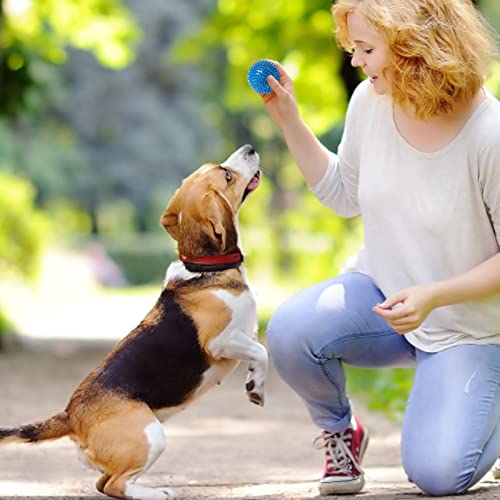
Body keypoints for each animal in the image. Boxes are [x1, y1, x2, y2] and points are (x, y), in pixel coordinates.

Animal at [0, 143, 270, 498]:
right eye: (226, 175)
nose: (250, 148)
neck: (204, 268)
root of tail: (71, 414)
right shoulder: (221, 342)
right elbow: (262, 351)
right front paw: (257, 387)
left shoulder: (247, 333)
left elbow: (259, 352)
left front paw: (254, 384)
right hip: (151, 436)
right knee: (114, 485)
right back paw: (157, 492)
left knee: (103, 483)